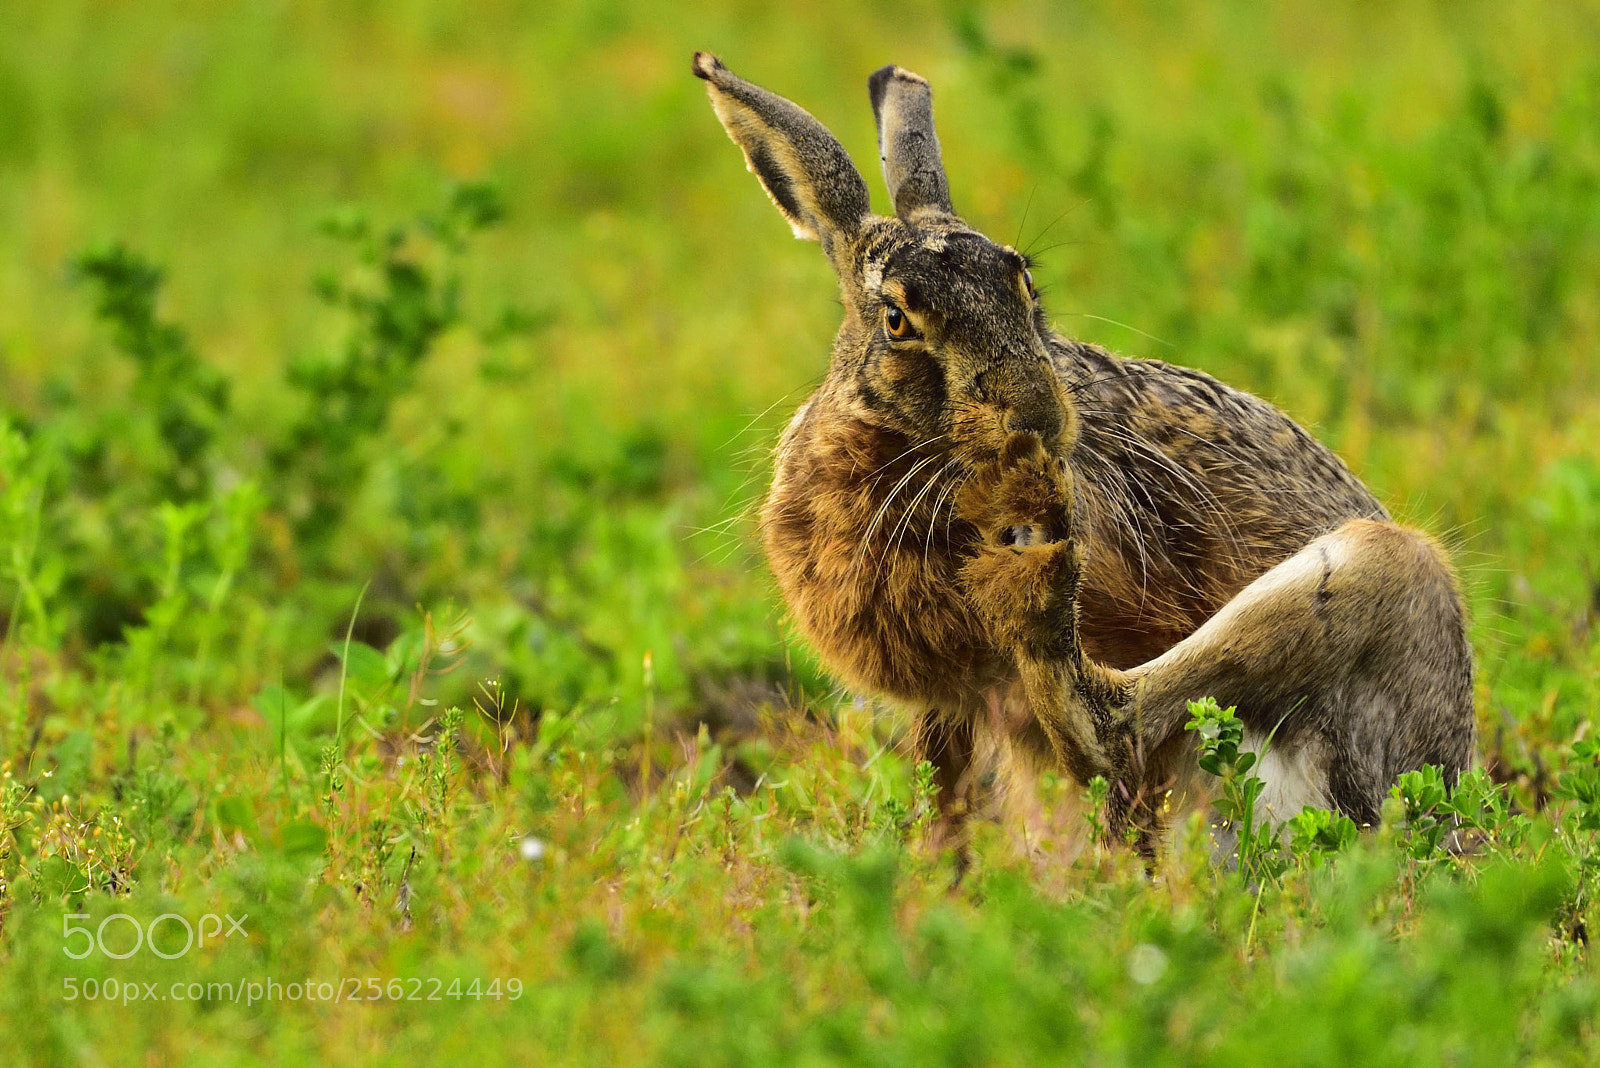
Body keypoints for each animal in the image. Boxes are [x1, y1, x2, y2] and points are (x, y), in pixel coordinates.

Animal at [692, 51, 1475, 852]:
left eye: (1025, 284)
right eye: (897, 321)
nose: (1038, 421)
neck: (916, 459)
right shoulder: (945, 708)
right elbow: (945, 797)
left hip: (1383, 572)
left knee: (1115, 728)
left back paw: (1034, 588)